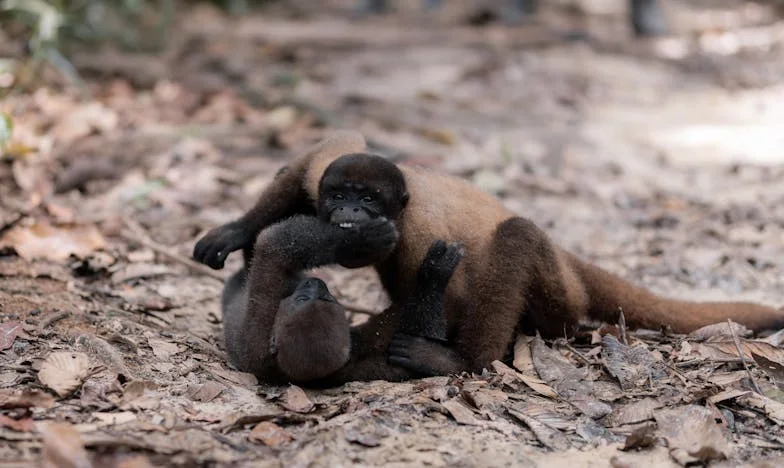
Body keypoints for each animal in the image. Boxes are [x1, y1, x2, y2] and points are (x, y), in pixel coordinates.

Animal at [220, 214, 462, 386]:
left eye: (325, 298)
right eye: (303, 298)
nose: (316, 283)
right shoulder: (262, 318)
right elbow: (273, 244)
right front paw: (357, 241)